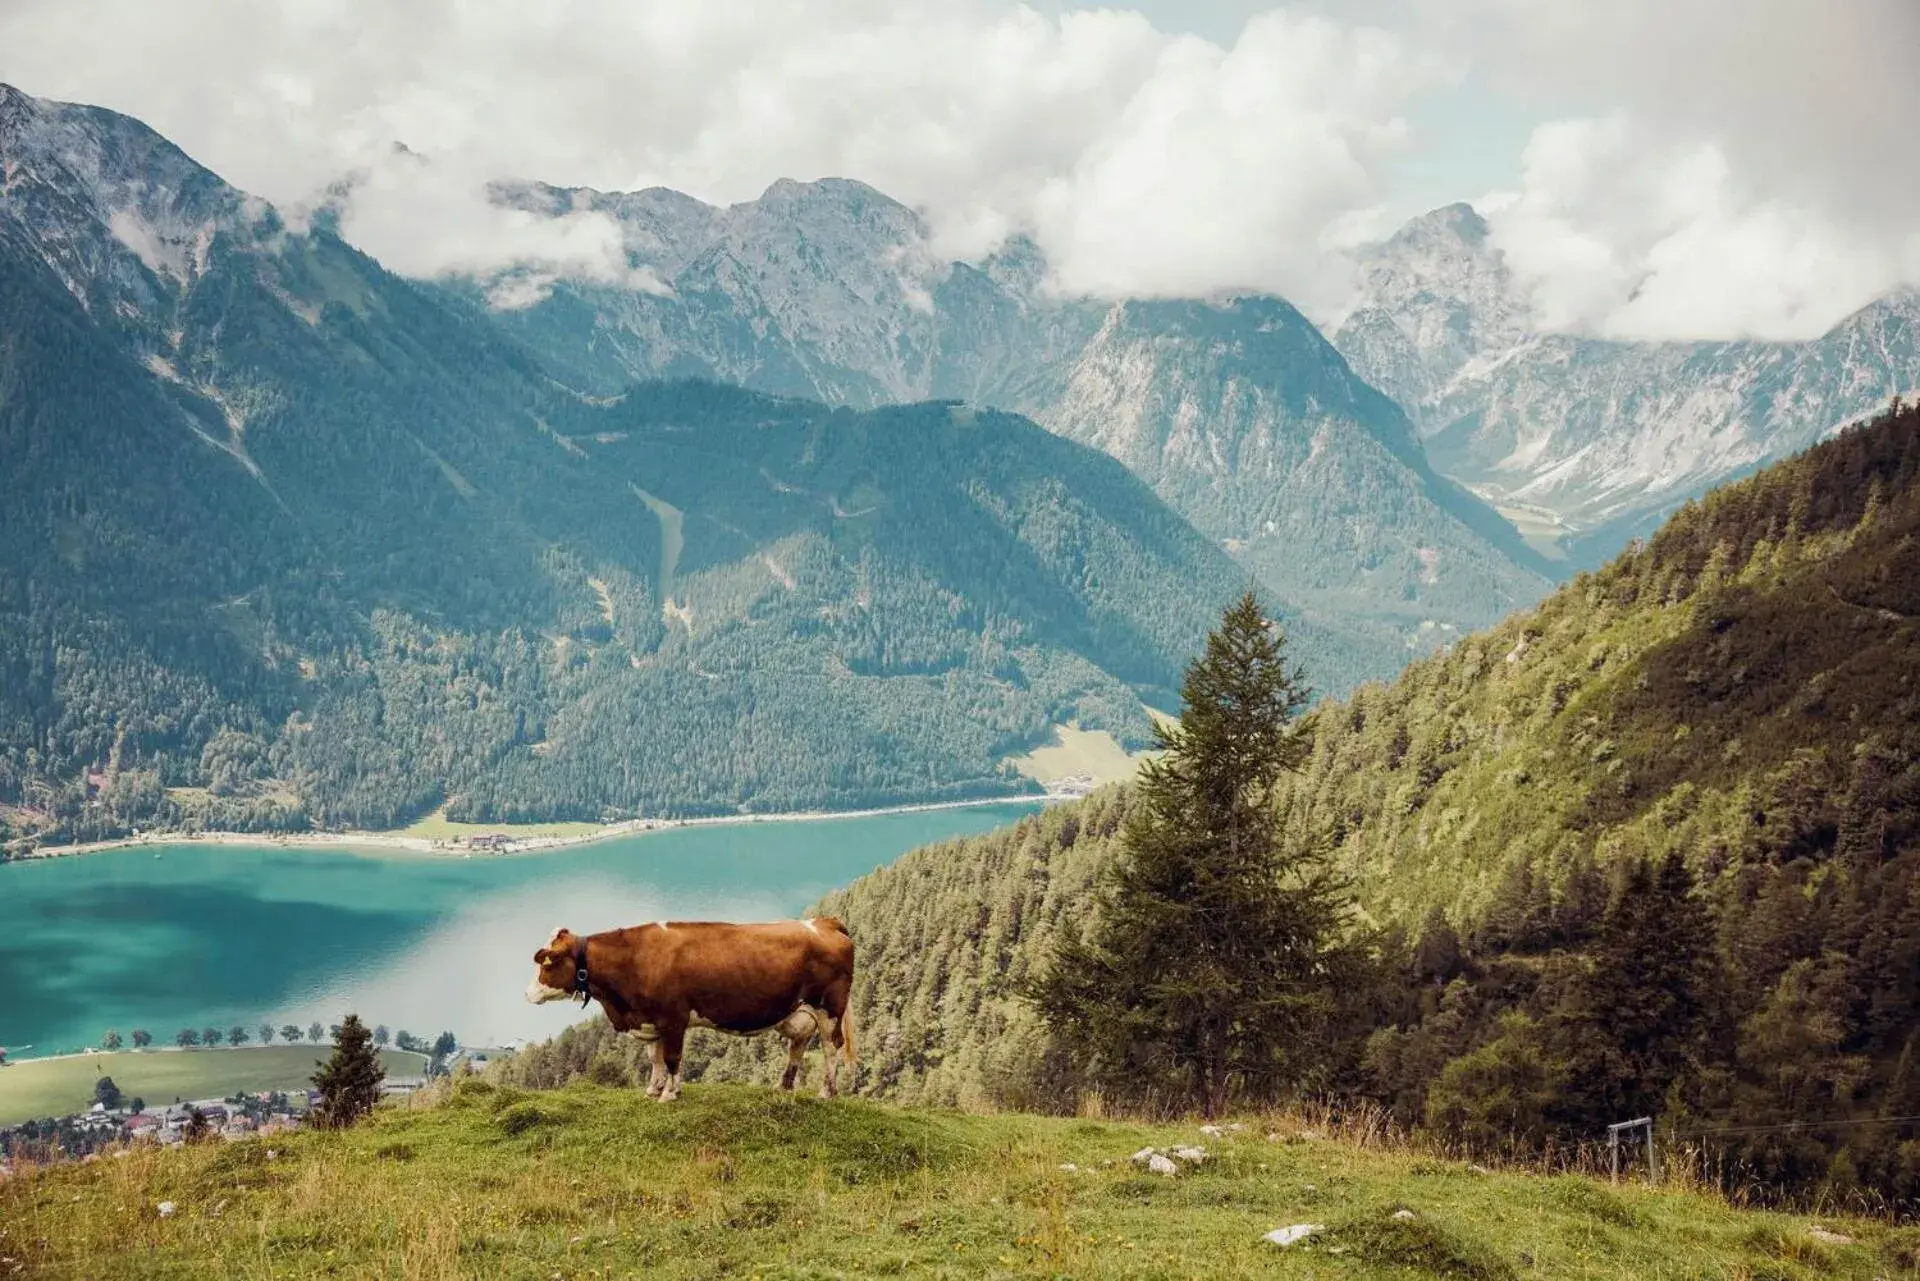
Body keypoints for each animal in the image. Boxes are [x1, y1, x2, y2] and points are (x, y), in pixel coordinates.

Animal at [526, 918, 856, 1106]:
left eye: (547, 963)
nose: (528, 994)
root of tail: (823, 922)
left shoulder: (673, 1018)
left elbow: (672, 1057)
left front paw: (670, 1094)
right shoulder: (651, 1020)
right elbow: (655, 1057)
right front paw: (653, 1088)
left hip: (830, 1008)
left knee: (831, 1047)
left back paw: (827, 1092)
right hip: (799, 1012)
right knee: (797, 1045)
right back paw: (784, 1087)